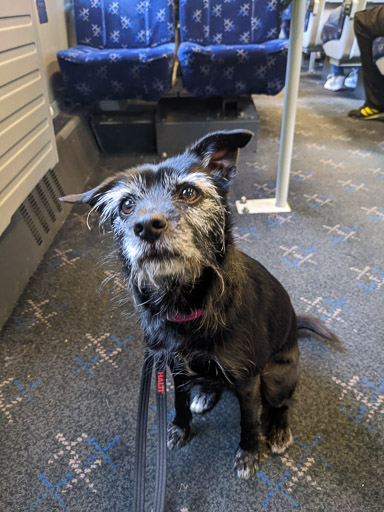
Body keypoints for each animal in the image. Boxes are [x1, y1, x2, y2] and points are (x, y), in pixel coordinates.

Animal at [62, 130, 340, 478]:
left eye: (188, 192)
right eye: (127, 205)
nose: (146, 226)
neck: (185, 302)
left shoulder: (248, 381)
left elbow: (249, 421)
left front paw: (249, 453)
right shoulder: (175, 368)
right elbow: (179, 403)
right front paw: (180, 428)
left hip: (276, 378)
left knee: (282, 403)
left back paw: (278, 430)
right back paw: (205, 394)